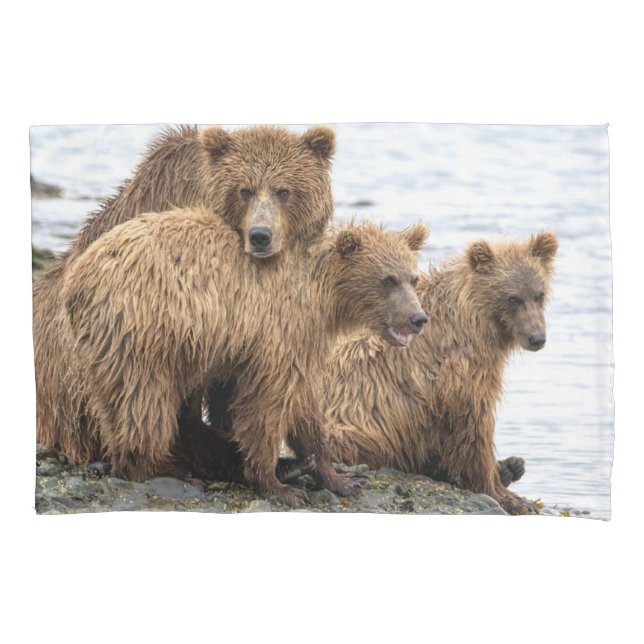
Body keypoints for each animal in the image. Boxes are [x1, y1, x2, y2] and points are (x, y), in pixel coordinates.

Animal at [61, 208, 429, 507]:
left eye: (413, 277)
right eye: (388, 279)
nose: (418, 318)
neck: (321, 298)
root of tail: (76, 277)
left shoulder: (304, 344)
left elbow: (307, 407)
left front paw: (340, 477)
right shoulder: (277, 332)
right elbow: (267, 403)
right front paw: (278, 486)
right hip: (142, 330)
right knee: (144, 402)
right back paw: (168, 468)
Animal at [322, 231, 559, 515]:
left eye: (539, 294)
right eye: (513, 298)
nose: (537, 338)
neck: (476, 322)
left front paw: (507, 474)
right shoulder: (458, 371)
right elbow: (473, 426)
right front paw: (511, 497)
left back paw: (511, 465)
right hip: (350, 425)